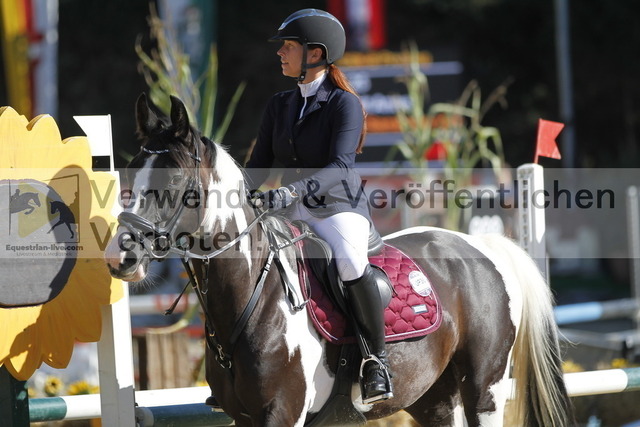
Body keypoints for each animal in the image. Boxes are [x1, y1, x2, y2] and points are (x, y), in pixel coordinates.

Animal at [105, 94, 573, 427]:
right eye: (128, 173)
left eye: (174, 180)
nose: (120, 255)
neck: (252, 295)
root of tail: (483, 247)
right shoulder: (245, 417)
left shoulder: (281, 412)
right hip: (433, 397)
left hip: (484, 390)